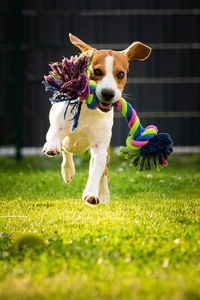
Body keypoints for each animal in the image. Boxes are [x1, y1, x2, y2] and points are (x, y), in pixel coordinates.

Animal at [43, 34, 151, 205]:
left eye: (121, 74)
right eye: (97, 71)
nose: (108, 93)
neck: (90, 110)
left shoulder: (100, 148)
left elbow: (96, 172)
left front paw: (91, 194)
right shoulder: (59, 120)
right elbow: (54, 130)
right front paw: (52, 145)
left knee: (103, 171)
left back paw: (104, 194)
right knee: (66, 151)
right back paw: (67, 170)